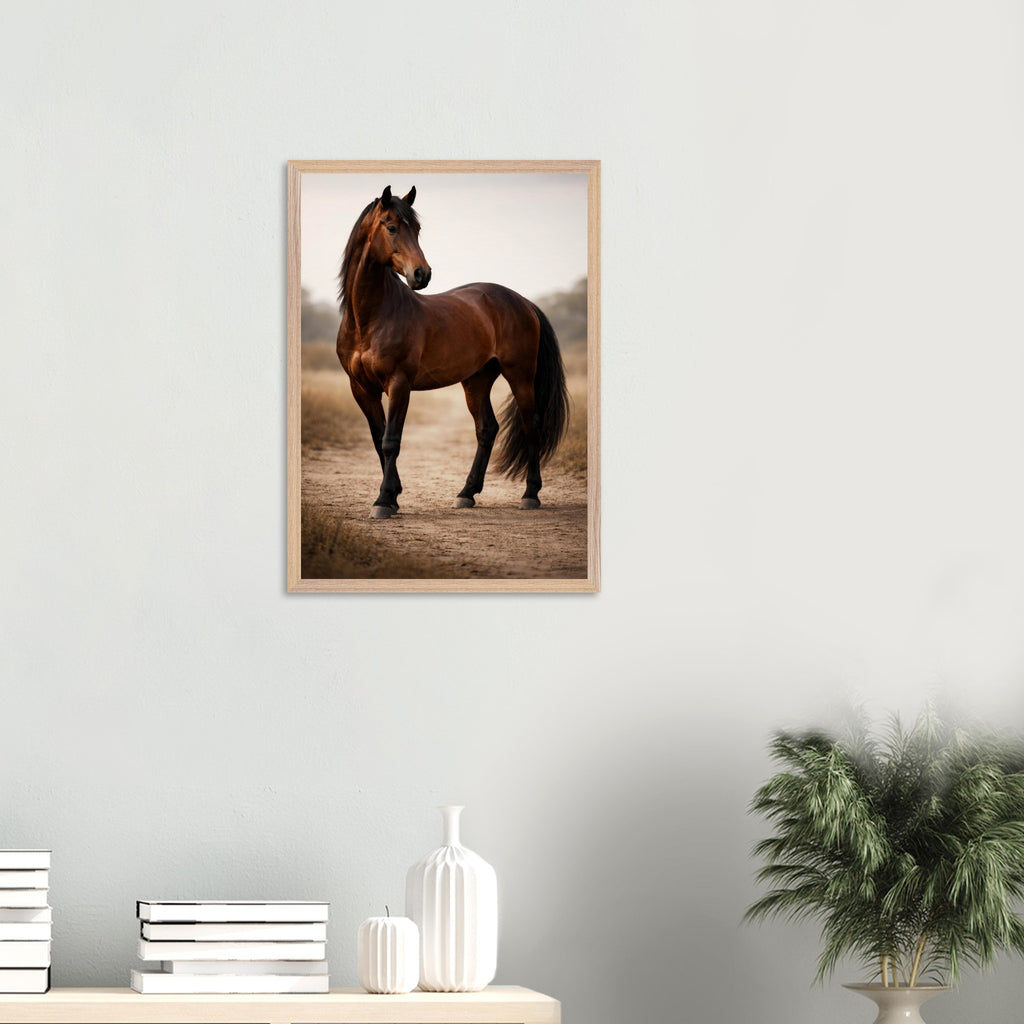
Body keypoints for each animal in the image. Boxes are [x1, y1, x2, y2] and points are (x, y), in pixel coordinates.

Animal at [334, 185, 570, 519]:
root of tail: (522, 301)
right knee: (487, 429)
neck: (370, 318)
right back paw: (466, 493)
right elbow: (379, 441)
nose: (422, 274)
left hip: (520, 376)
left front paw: (383, 501)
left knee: (530, 425)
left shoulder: (398, 384)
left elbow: (392, 441)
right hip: (477, 380)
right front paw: (392, 497)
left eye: (417, 229)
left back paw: (530, 494)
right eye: (391, 227)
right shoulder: (361, 389)